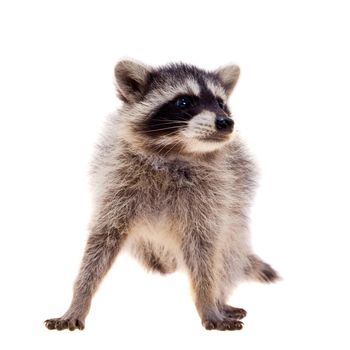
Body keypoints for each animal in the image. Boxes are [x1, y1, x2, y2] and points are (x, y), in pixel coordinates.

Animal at [44, 59, 278, 330]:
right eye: (184, 102)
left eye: (221, 103)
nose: (225, 122)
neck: (175, 152)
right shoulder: (117, 183)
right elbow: (101, 241)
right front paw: (79, 299)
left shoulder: (212, 197)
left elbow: (205, 253)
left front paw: (208, 302)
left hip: (235, 230)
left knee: (227, 257)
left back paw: (219, 300)